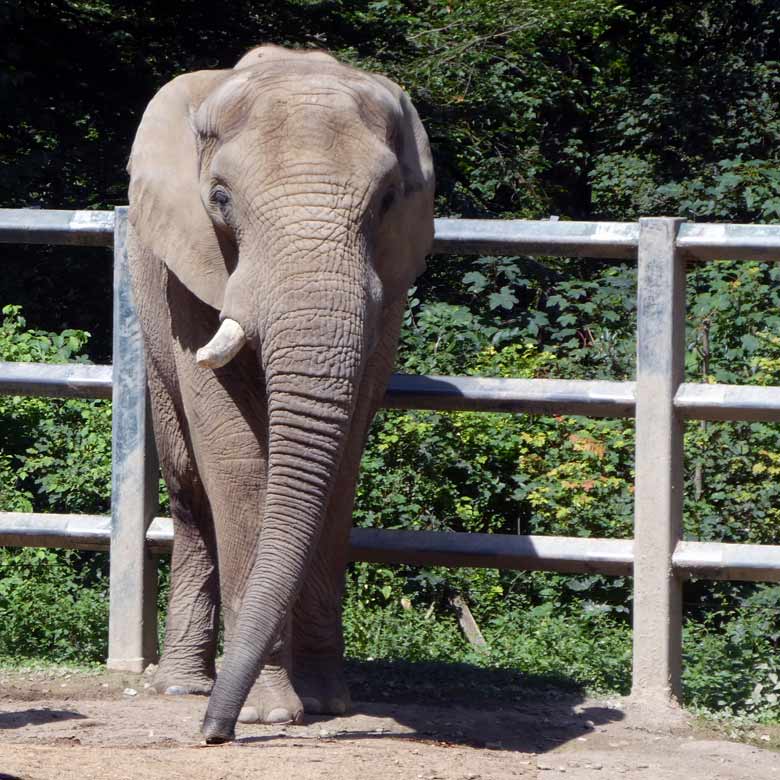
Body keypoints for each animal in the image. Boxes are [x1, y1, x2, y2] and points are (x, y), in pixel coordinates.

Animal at [125, 44, 436, 744]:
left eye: (387, 201)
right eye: (219, 198)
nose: (212, 734)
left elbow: (341, 461)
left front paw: (325, 705)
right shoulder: (192, 267)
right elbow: (237, 461)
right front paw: (268, 713)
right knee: (190, 490)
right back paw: (184, 685)